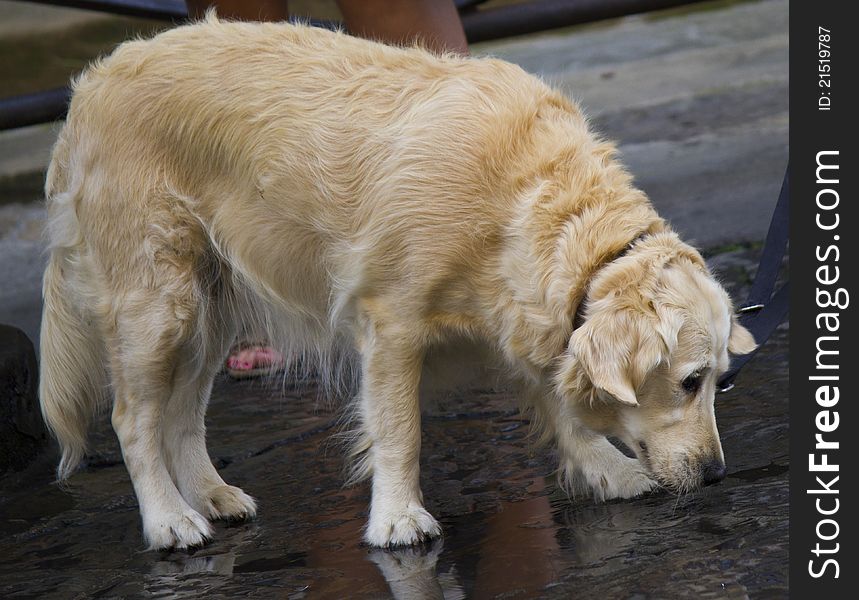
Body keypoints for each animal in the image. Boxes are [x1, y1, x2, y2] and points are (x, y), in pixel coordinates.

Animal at [38, 15, 752, 548]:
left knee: (184, 414)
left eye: (721, 380)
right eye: (689, 381)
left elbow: (556, 397)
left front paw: (607, 471)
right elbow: (400, 430)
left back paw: (212, 496)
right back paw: (169, 520)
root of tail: (91, 84)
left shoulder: (518, 311)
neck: (523, 199)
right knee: (134, 417)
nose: (717, 475)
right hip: (157, 300)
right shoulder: (392, 321)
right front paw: (398, 518)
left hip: (210, 303)